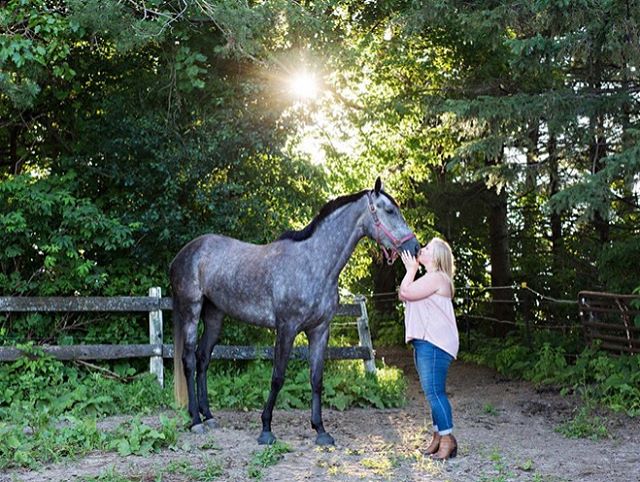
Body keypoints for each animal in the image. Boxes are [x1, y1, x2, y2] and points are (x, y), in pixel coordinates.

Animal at [170, 179, 420, 446]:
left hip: (214, 315)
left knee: (203, 359)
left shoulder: (320, 330)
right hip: (191, 311)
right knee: (189, 360)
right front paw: (266, 430)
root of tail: (182, 255)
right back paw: (196, 421)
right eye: (390, 211)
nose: (415, 247)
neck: (314, 263)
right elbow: (278, 377)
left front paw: (320, 430)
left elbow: (316, 379)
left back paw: (209, 416)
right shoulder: (286, 329)